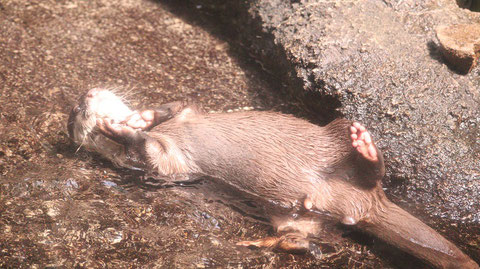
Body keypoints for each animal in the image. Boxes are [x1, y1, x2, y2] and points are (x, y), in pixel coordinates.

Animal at [68, 88, 480, 268]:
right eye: (75, 114)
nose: (85, 96)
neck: (170, 132)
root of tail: (365, 204)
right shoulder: (170, 166)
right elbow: (150, 154)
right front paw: (118, 130)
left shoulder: (188, 115)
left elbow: (179, 105)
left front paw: (138, 118)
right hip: (300, 214)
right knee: (298, 235)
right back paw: (271, 243)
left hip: (332, 139)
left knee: (366, 166)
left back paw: (364, 144)